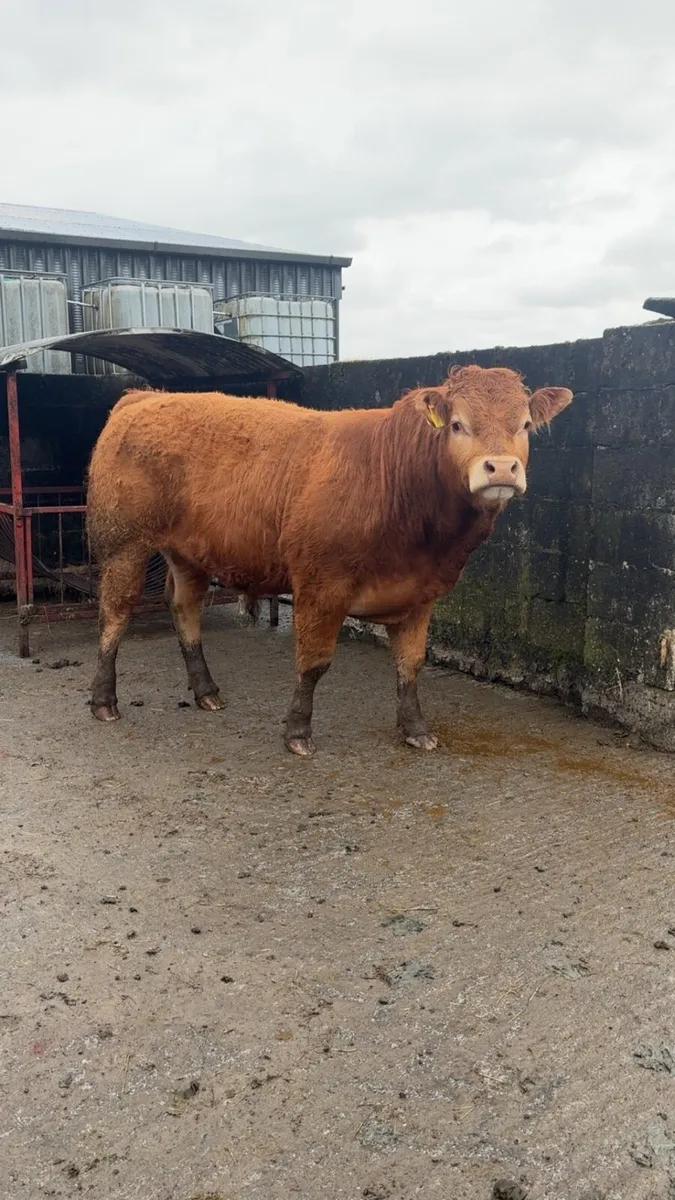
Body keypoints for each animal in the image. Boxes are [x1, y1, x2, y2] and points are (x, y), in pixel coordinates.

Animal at [86, 365, 572, 756]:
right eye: (456, 424)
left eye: (525, 424)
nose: (501, 468)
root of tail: (143, 396)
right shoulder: (321, 586)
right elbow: (314, 662)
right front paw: (298, 733)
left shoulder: (421, 597)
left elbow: (410, 666)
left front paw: (415, 729)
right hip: (123, 542)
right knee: (115, 613)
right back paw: (104, 701)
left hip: (188, 552)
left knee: (184, 609)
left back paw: (206, 691)